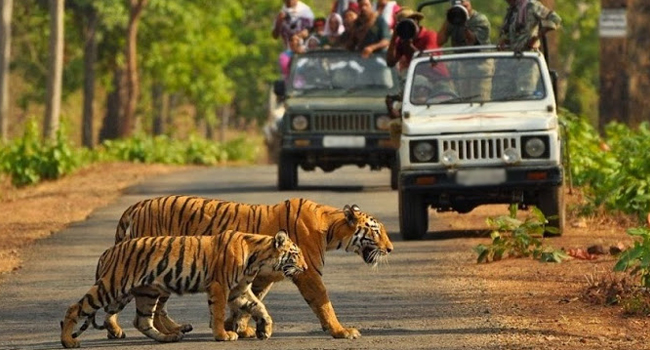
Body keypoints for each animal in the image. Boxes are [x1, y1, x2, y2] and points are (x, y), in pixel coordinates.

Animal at [60, 230, 304, 348]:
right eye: (296, 254)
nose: (306, 267)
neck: (258, 259)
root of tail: (108, 251)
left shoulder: (239, 290)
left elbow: (259, 306)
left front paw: (265, 329)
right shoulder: (220, 286)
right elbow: (218, 313)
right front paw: (223, 335)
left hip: (144, 292)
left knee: (141, 321)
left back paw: (169, 337)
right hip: (111, 286)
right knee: (75, 308)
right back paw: (68, 342)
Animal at [110, 196, 390, 338]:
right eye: (376, 231)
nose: (390, 249)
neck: (331, 229)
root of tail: (135, 206)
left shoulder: (261, 276)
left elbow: (249, 301)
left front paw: (238, 327)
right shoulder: (308, 273)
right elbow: (323, 303)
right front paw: (341, 331)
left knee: (156, 308)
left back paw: (174, 330)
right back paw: (118, 330)